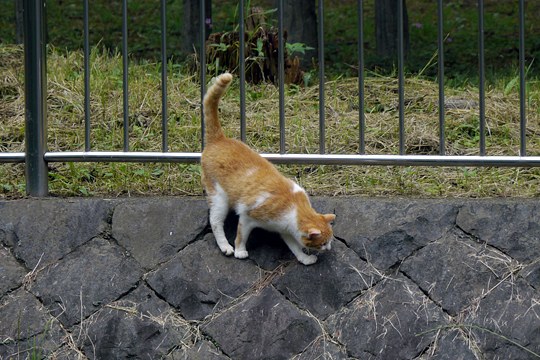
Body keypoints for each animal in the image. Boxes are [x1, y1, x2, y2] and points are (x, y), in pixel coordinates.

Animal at [199, 73, 334, 264]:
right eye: (323, 243)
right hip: (219, 199)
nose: (328, 248)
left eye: (330, 240)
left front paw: (304, 259)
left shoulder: (286, 230)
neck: (294, 208)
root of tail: (219, 139)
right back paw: (225, 247)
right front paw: (240, 251)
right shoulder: (247, 217)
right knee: (215, 222)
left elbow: (295, 247)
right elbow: (241, 236)